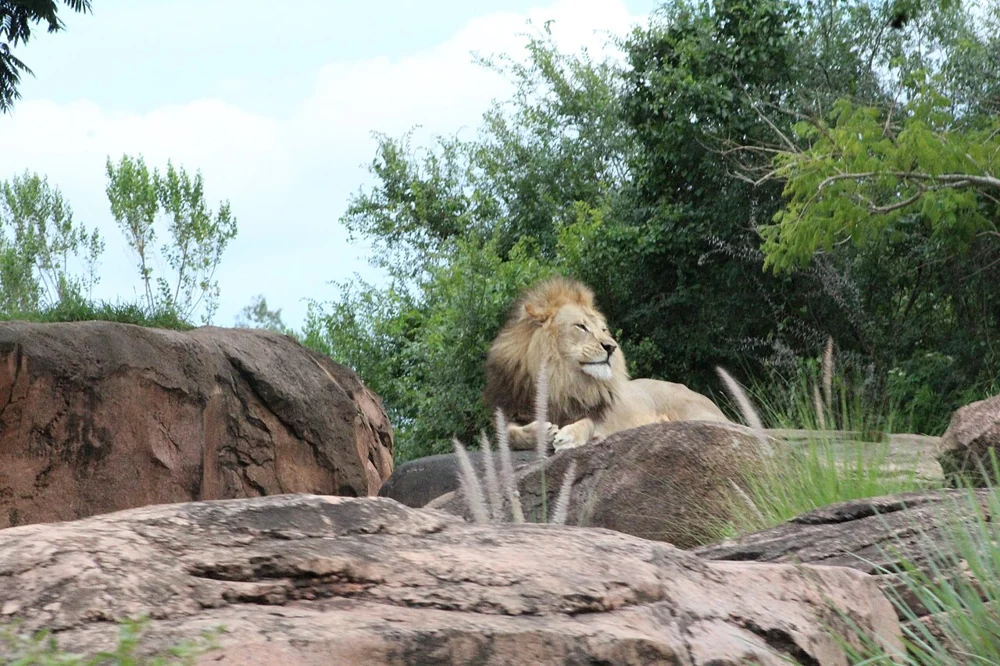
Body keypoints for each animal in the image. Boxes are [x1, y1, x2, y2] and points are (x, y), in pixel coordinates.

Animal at [483, 276, 730, 451]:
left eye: (603, 329)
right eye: (581, 326)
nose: (612, 347)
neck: (560, 379)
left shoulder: (606, 420)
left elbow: (588, 422)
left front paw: (568, 436)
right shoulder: (511, 411)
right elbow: (508, 434)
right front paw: (541, 432)